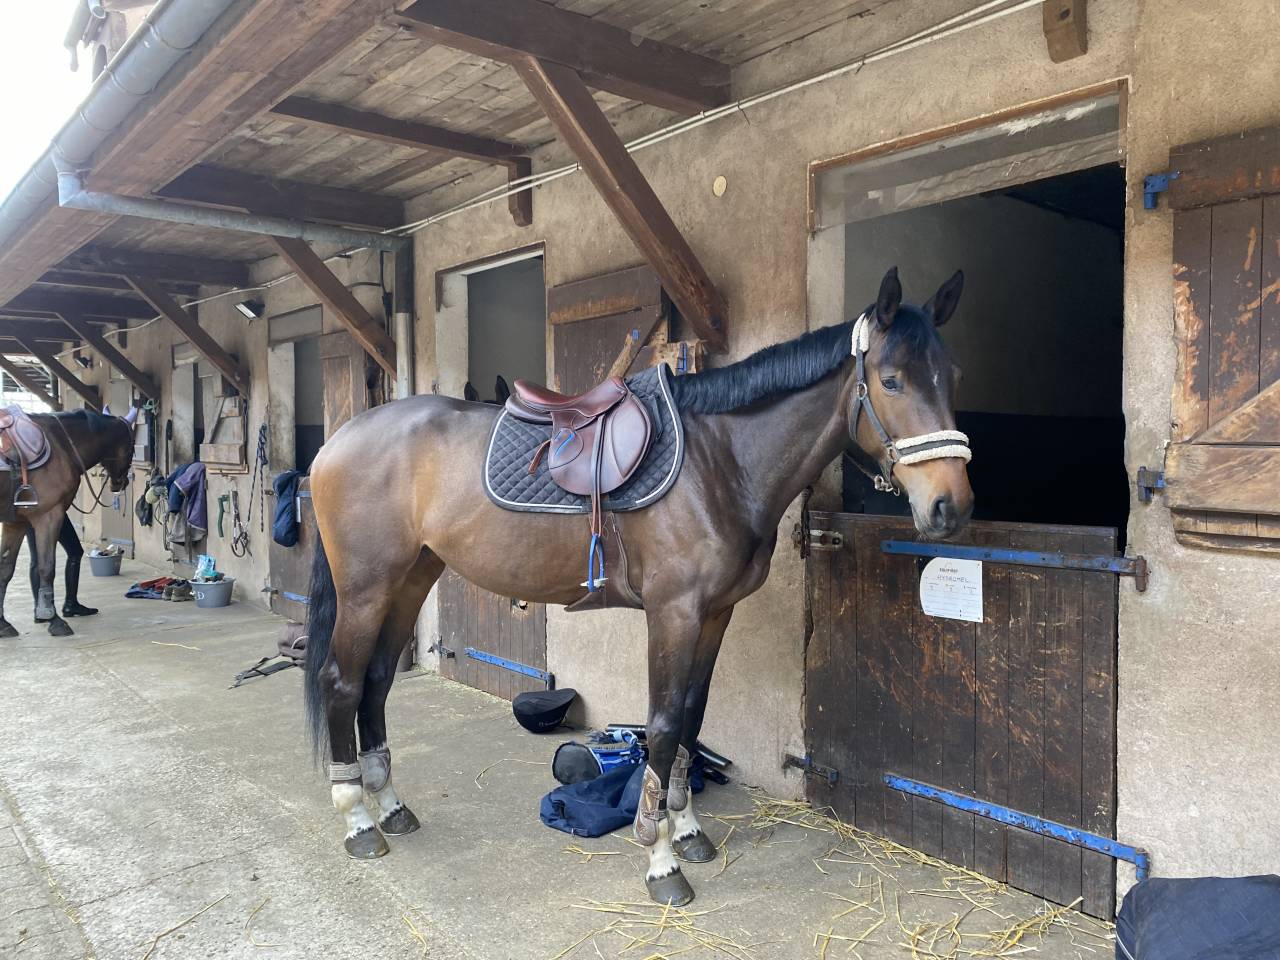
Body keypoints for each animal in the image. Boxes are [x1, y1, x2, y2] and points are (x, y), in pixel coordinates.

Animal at [0, 407, 137, 638]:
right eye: (132, 446)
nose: (121, 482)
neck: (60, 444)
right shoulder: (49, 516)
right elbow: (46, 568)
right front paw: (53, 619)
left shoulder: (16, 523)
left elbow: (5, 569)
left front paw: (3, 624)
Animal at [303, 267, 975, 906]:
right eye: (892, 381)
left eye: (952, 376)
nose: (951, 506)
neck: (719, 462)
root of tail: (337, 441)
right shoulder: (673, 613)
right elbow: (663, 724)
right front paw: (661, 860)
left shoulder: (715, 614)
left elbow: (692, 718)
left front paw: (689, 830)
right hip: (366, 589)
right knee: (341, 682)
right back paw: (358, 821)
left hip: (412, 577)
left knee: (376, 681)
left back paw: (391, 806)